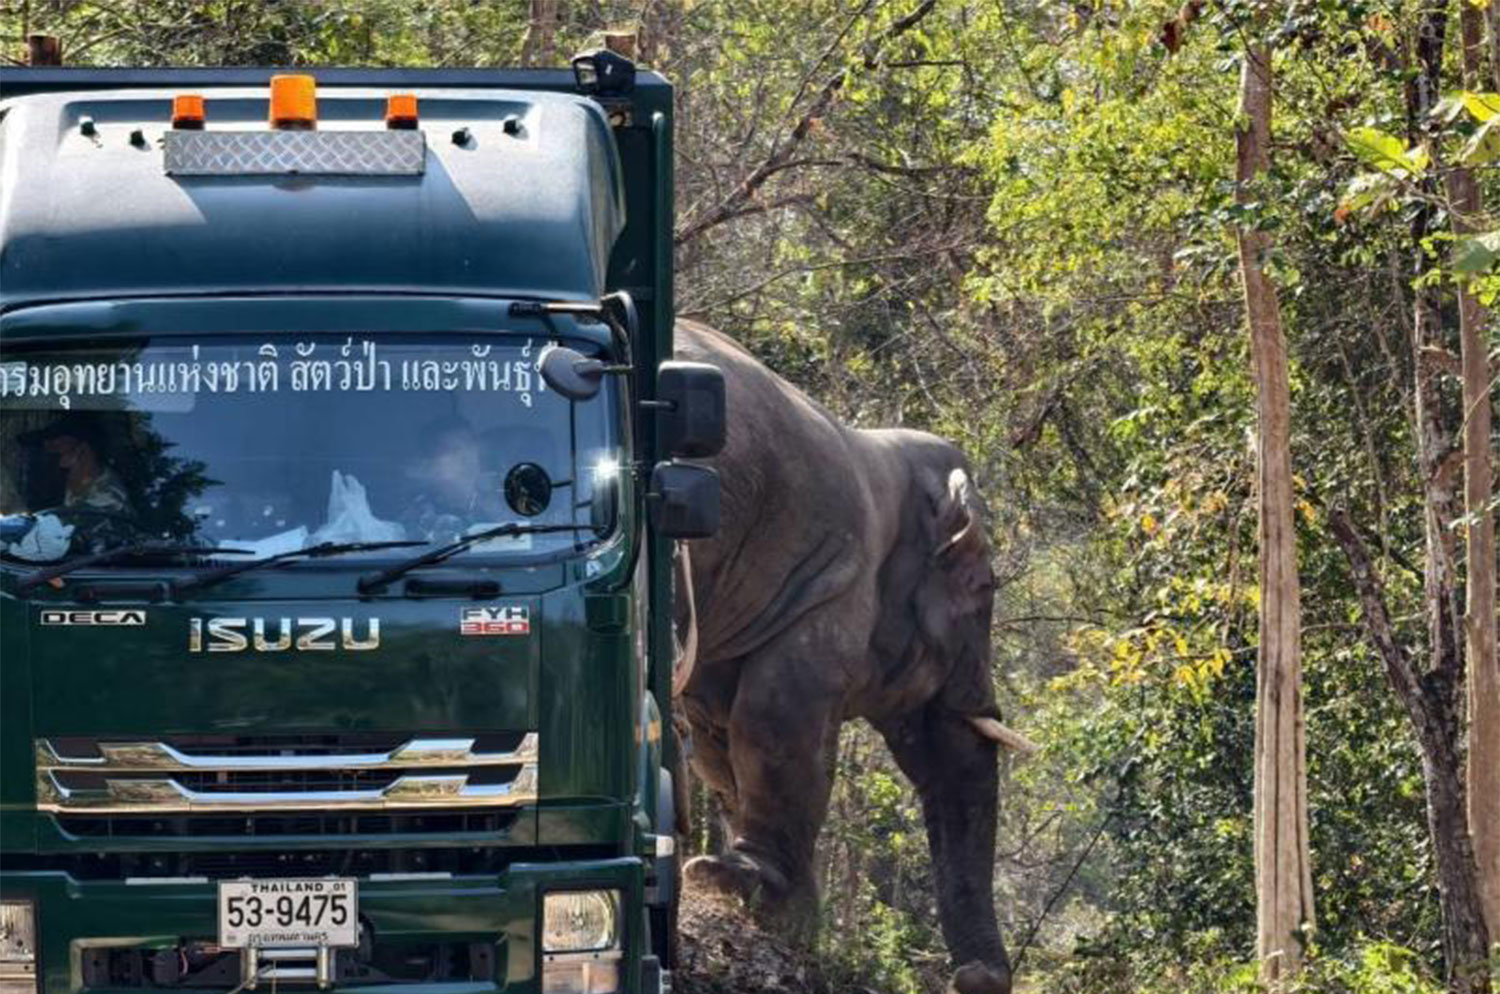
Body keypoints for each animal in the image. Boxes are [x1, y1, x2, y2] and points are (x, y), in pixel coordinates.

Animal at [678, 322, 1020, 994]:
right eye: (985, 588)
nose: (975, 975)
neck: (875, 450)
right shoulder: (830, 578)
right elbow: (777, 718)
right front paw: (753, 889)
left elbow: (718, 739)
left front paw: (783, 910)